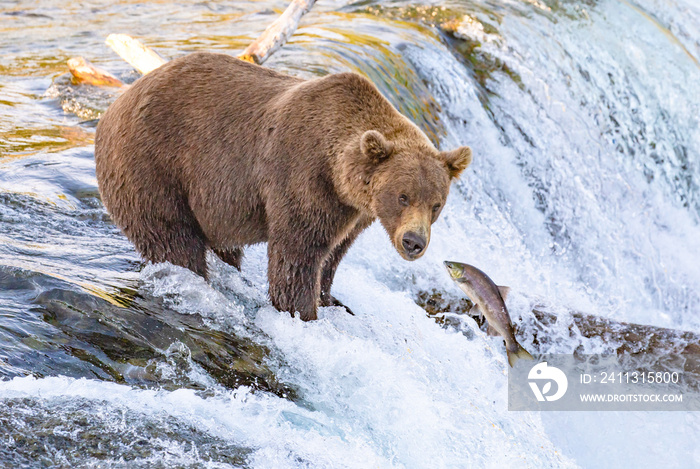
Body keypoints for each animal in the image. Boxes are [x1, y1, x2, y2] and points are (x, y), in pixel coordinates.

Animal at [94, 52, 470, 322]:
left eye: (436, 204)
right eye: (402, 196)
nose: (413, 242)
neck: (341, 176)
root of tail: (113, 107)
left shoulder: (353, 212)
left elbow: (333, 254)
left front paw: (331, 299)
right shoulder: (303, 177)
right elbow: (298, 252)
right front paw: (302, 313)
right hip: (153, 167)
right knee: (173, 240)